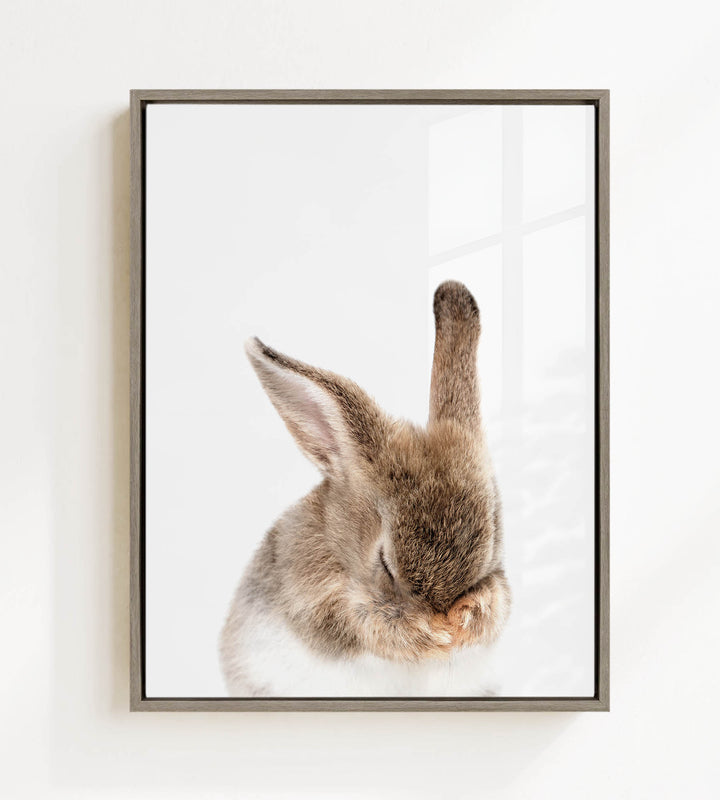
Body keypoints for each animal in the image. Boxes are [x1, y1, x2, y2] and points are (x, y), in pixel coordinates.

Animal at [220, 281, 511, 697]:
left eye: (492, 541)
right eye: (384, 562)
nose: (443, 615)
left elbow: (496, 603)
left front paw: (465, 622)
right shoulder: (321, 605)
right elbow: (365, 624)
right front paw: (431, 635)